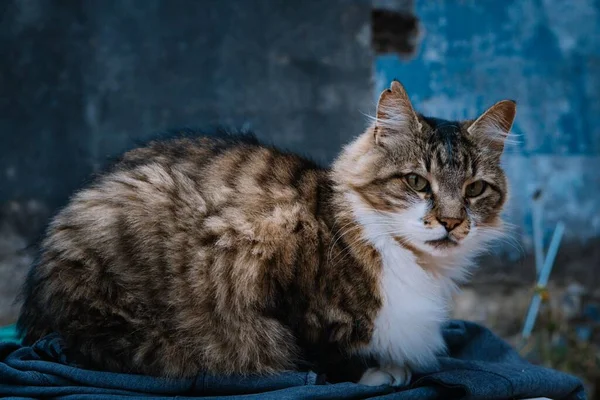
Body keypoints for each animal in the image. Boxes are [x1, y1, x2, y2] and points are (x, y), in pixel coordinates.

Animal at [17, 79, 516, 386]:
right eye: (416, 182)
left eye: (474, 189)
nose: (452, 222)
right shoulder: (269, 257)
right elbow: (318, 350)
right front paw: (379, 372)